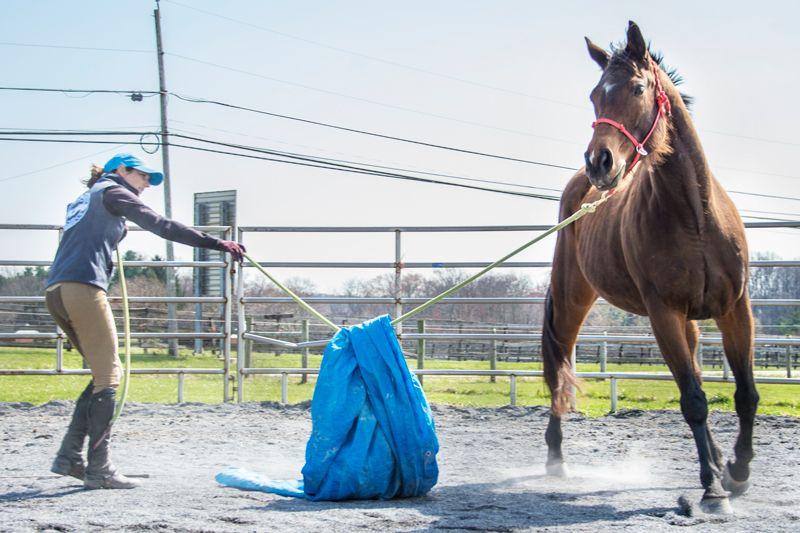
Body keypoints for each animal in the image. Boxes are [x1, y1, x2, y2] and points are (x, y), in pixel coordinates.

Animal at [541, 21, 757, 514]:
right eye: (594, 95)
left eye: (638, 88)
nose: (600, 161)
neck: (695, 216)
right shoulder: (664, 315)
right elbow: (693, 400)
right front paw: (713, 489)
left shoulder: (734, 309)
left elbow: (745, 394)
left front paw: (736, 471)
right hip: (572, 299)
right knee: (559, 367)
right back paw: (556, 458)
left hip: (693, 322)